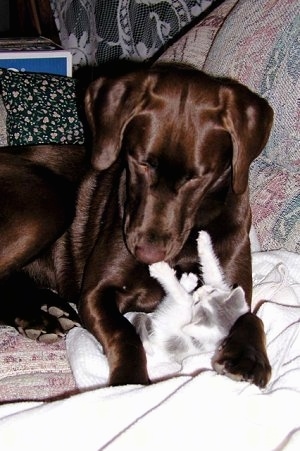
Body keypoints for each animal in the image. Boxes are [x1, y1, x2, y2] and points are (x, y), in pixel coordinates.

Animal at [125, 231, 248, 366]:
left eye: (197, 303)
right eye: (212, 290)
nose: (199, 291)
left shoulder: (182, 307)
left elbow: (178, 293)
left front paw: (162, 271)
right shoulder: (219, 284)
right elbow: (212, 270)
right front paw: (204, 241)